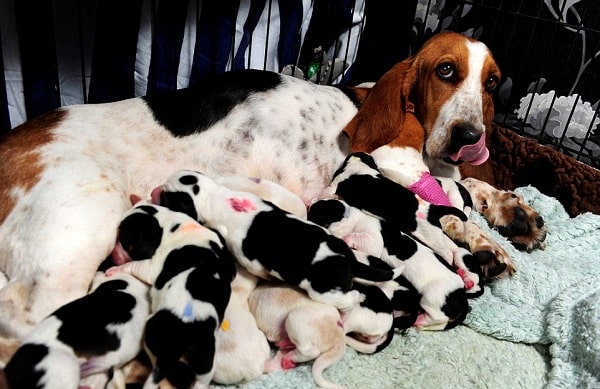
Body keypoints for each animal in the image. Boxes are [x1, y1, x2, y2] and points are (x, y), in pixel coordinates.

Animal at [105, 202, 237, 386]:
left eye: (123, 236)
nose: (113, 256)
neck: (172, 223)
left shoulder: (151, 267)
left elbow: (134, 266)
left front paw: (116, 269)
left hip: (153, 334)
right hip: (205, 355)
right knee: (202, 379)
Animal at [154, 170, 398, 312]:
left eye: (166, 196)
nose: (155, 190)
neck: (215, 197)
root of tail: (349, 260)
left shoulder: (246, 256)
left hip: (324, 291)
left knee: (346, 299)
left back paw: (356, 297)